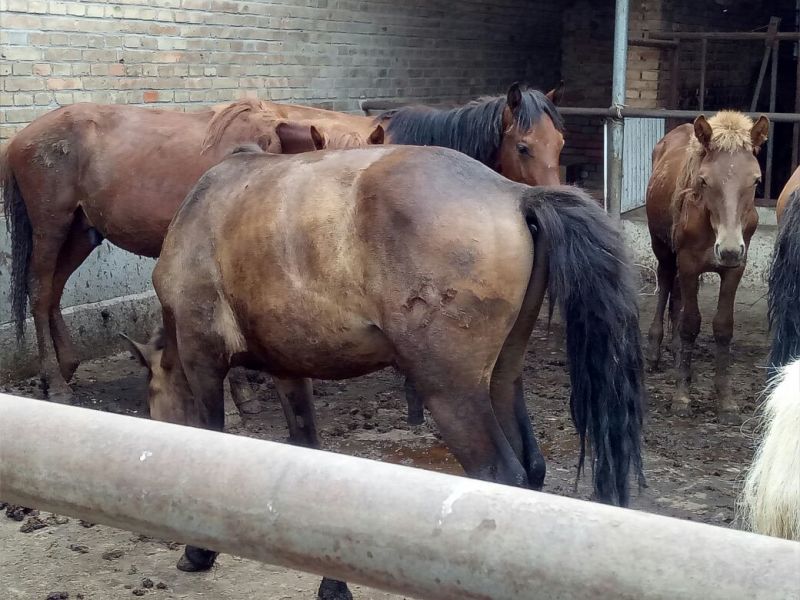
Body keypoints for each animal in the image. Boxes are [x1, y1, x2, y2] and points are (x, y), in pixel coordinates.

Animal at [1, 101, 383, 402]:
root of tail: (19, 138)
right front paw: (241, 393)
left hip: (81, 232)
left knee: (53, 291)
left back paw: (65, 368)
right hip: (52, 226)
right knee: (39, 291)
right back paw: (55, 383)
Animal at [127, 144, 644, 600]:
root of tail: (513, 193)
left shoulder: (202, 361)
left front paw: (198, 552)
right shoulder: (288, 371)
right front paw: (332, 583)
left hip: (452, 394)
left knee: (501, 475)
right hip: (501, 379)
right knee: (531, 469)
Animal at [645, 111, 769, 423]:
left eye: (756, 180)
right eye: (704, 180)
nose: (728, 250)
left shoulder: (735, 268)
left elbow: (722, 326)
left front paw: (725, 401)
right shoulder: (688, 263)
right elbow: (691, 324)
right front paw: (682, 398)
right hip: (663, 250)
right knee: (666, 283)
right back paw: (655, 352)